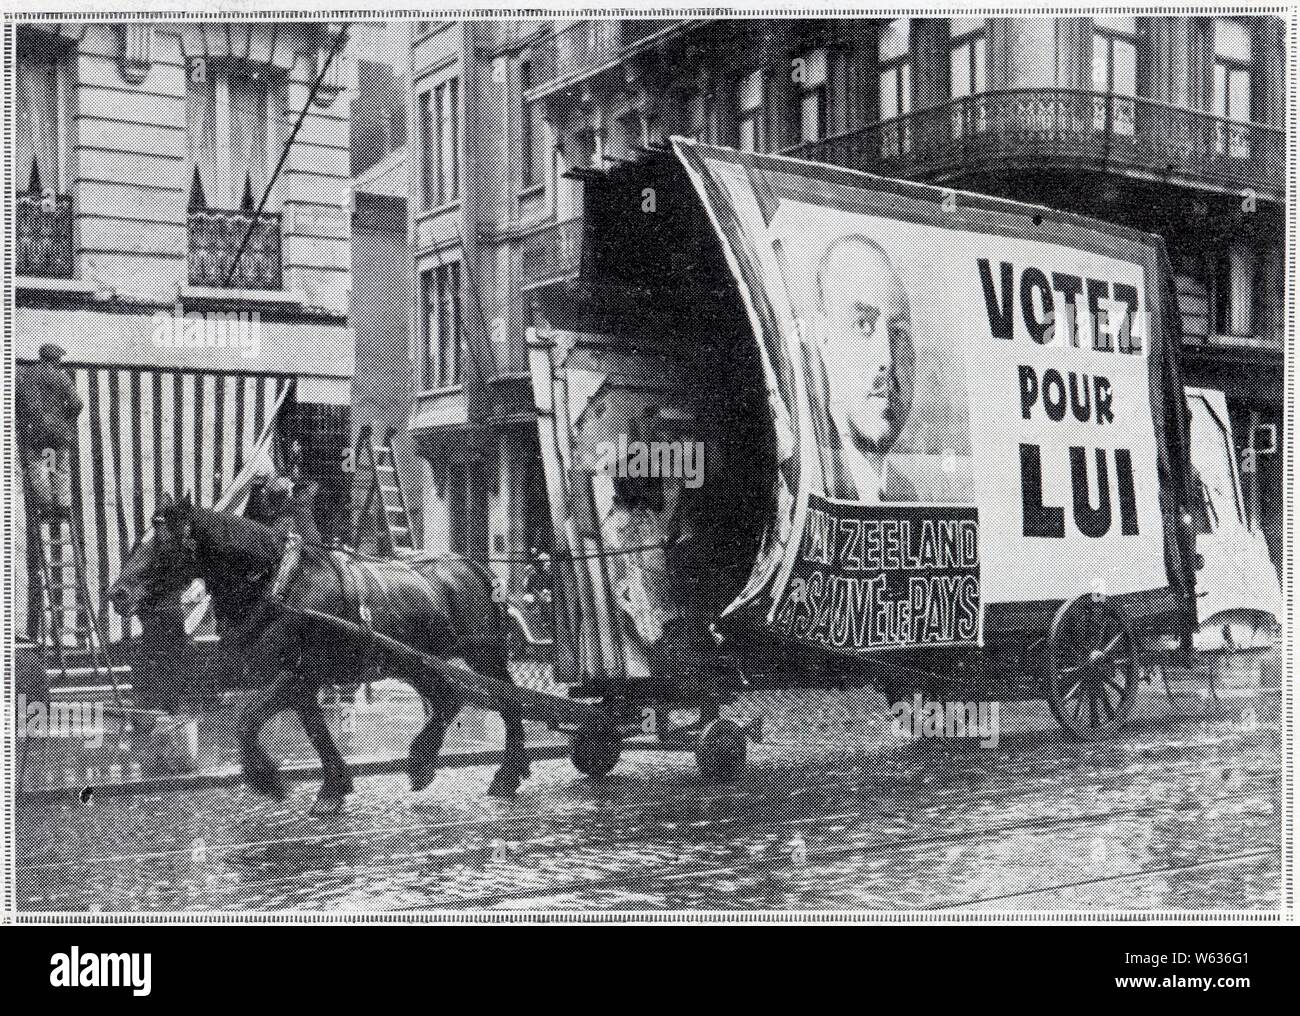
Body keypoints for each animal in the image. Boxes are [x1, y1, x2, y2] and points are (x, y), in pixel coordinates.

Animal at [109, 496, 530, 821]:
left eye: (164, 543)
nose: (118, 594)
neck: (278, 585)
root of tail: (478, 569)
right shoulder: (297, 679)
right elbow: (314, 730)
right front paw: (332, 786)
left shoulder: (299, 674)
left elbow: (249, 721)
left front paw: (269, 779)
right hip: (413, 661)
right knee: (448, 699)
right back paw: (424, 762)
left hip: (483, 655)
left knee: (509, 700)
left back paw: (506, 775)